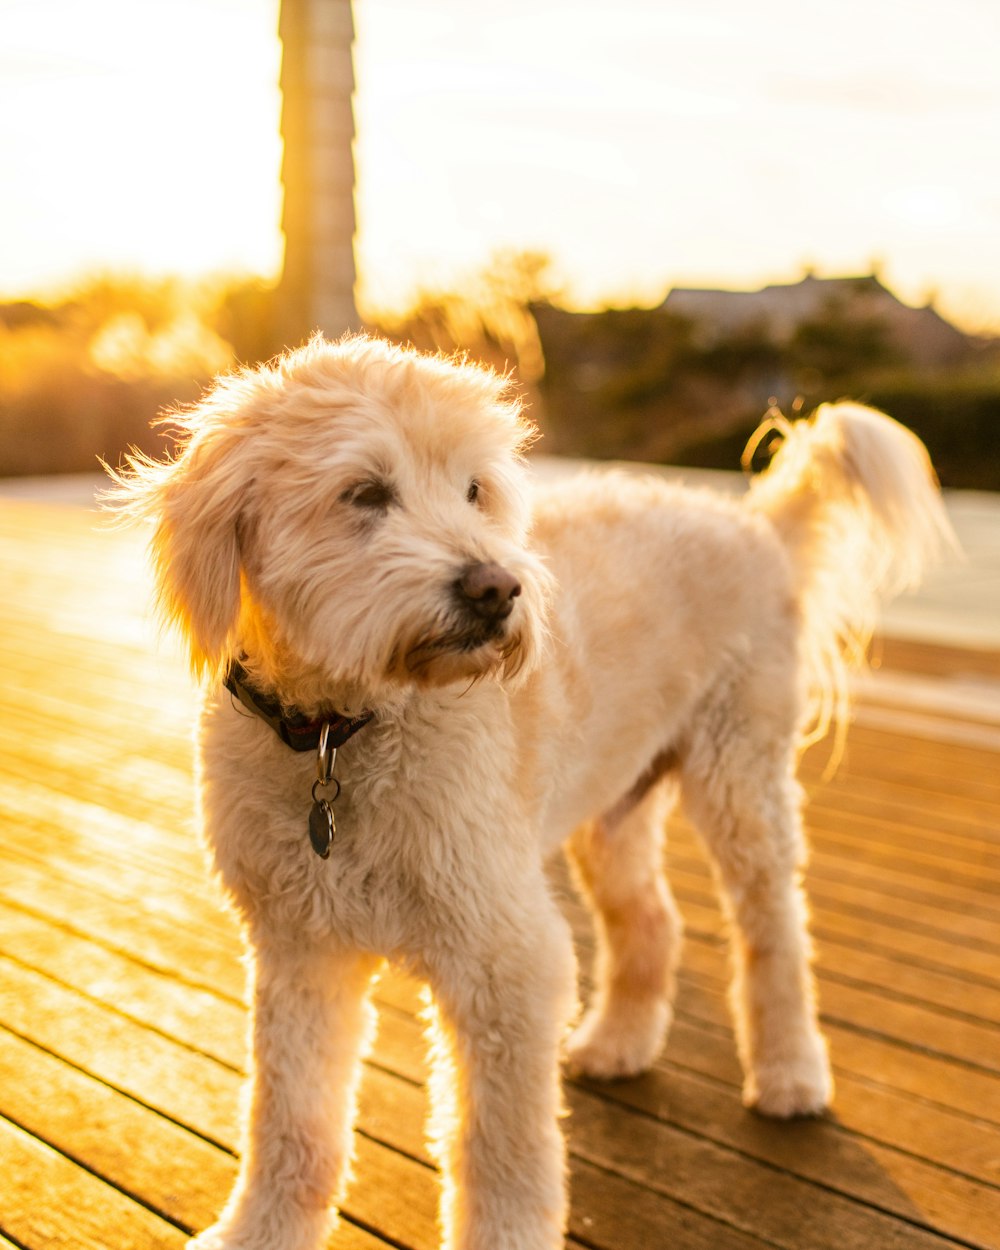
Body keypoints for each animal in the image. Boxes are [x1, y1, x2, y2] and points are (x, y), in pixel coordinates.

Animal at [109, 335, 955, 1250]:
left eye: (474, 490)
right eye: (365, 493)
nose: (496, 588)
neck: (343, 731)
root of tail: (754, 523)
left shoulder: (504, 957)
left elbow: (499, 1145)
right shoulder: (300, 951)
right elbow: (291, 1120)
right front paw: (260, 1231)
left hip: (740, 780)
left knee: (776, 931)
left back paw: (792, 1074)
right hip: (612, 809)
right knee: (652, 921)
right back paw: (619, 1044)